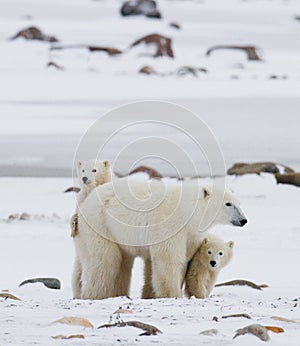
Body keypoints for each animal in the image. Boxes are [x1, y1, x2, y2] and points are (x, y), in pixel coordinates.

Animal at [75, 177, 246, 298]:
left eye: (239, 203)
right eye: (228, 204)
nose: (243, 220)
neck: (189, 212)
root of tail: (86, 203)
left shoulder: (191, 234)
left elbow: (184, 259)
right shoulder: (170, 225)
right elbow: (169, 259)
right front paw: (173, 294)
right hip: (101, 224)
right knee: (105, 261)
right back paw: (95, 294)